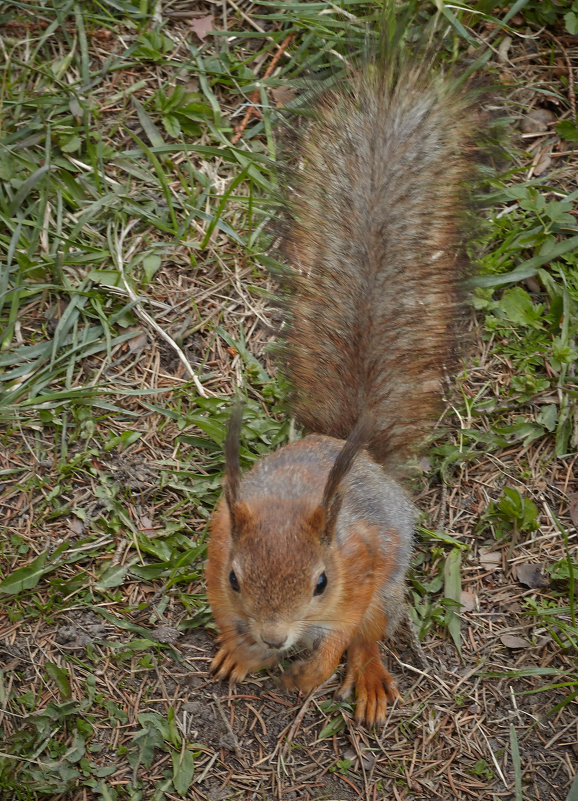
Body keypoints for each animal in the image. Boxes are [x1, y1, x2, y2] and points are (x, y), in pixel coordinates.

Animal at [205, 36, 474, 724]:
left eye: (321, 581)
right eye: (236, 578)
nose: (276, 637)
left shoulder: (364, 560)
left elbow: (347, 626)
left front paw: (312, 670)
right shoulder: (218, 549)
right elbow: (227, 615)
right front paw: (242, 651)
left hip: (392, 583)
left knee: (373, 628)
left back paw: (369, 675)